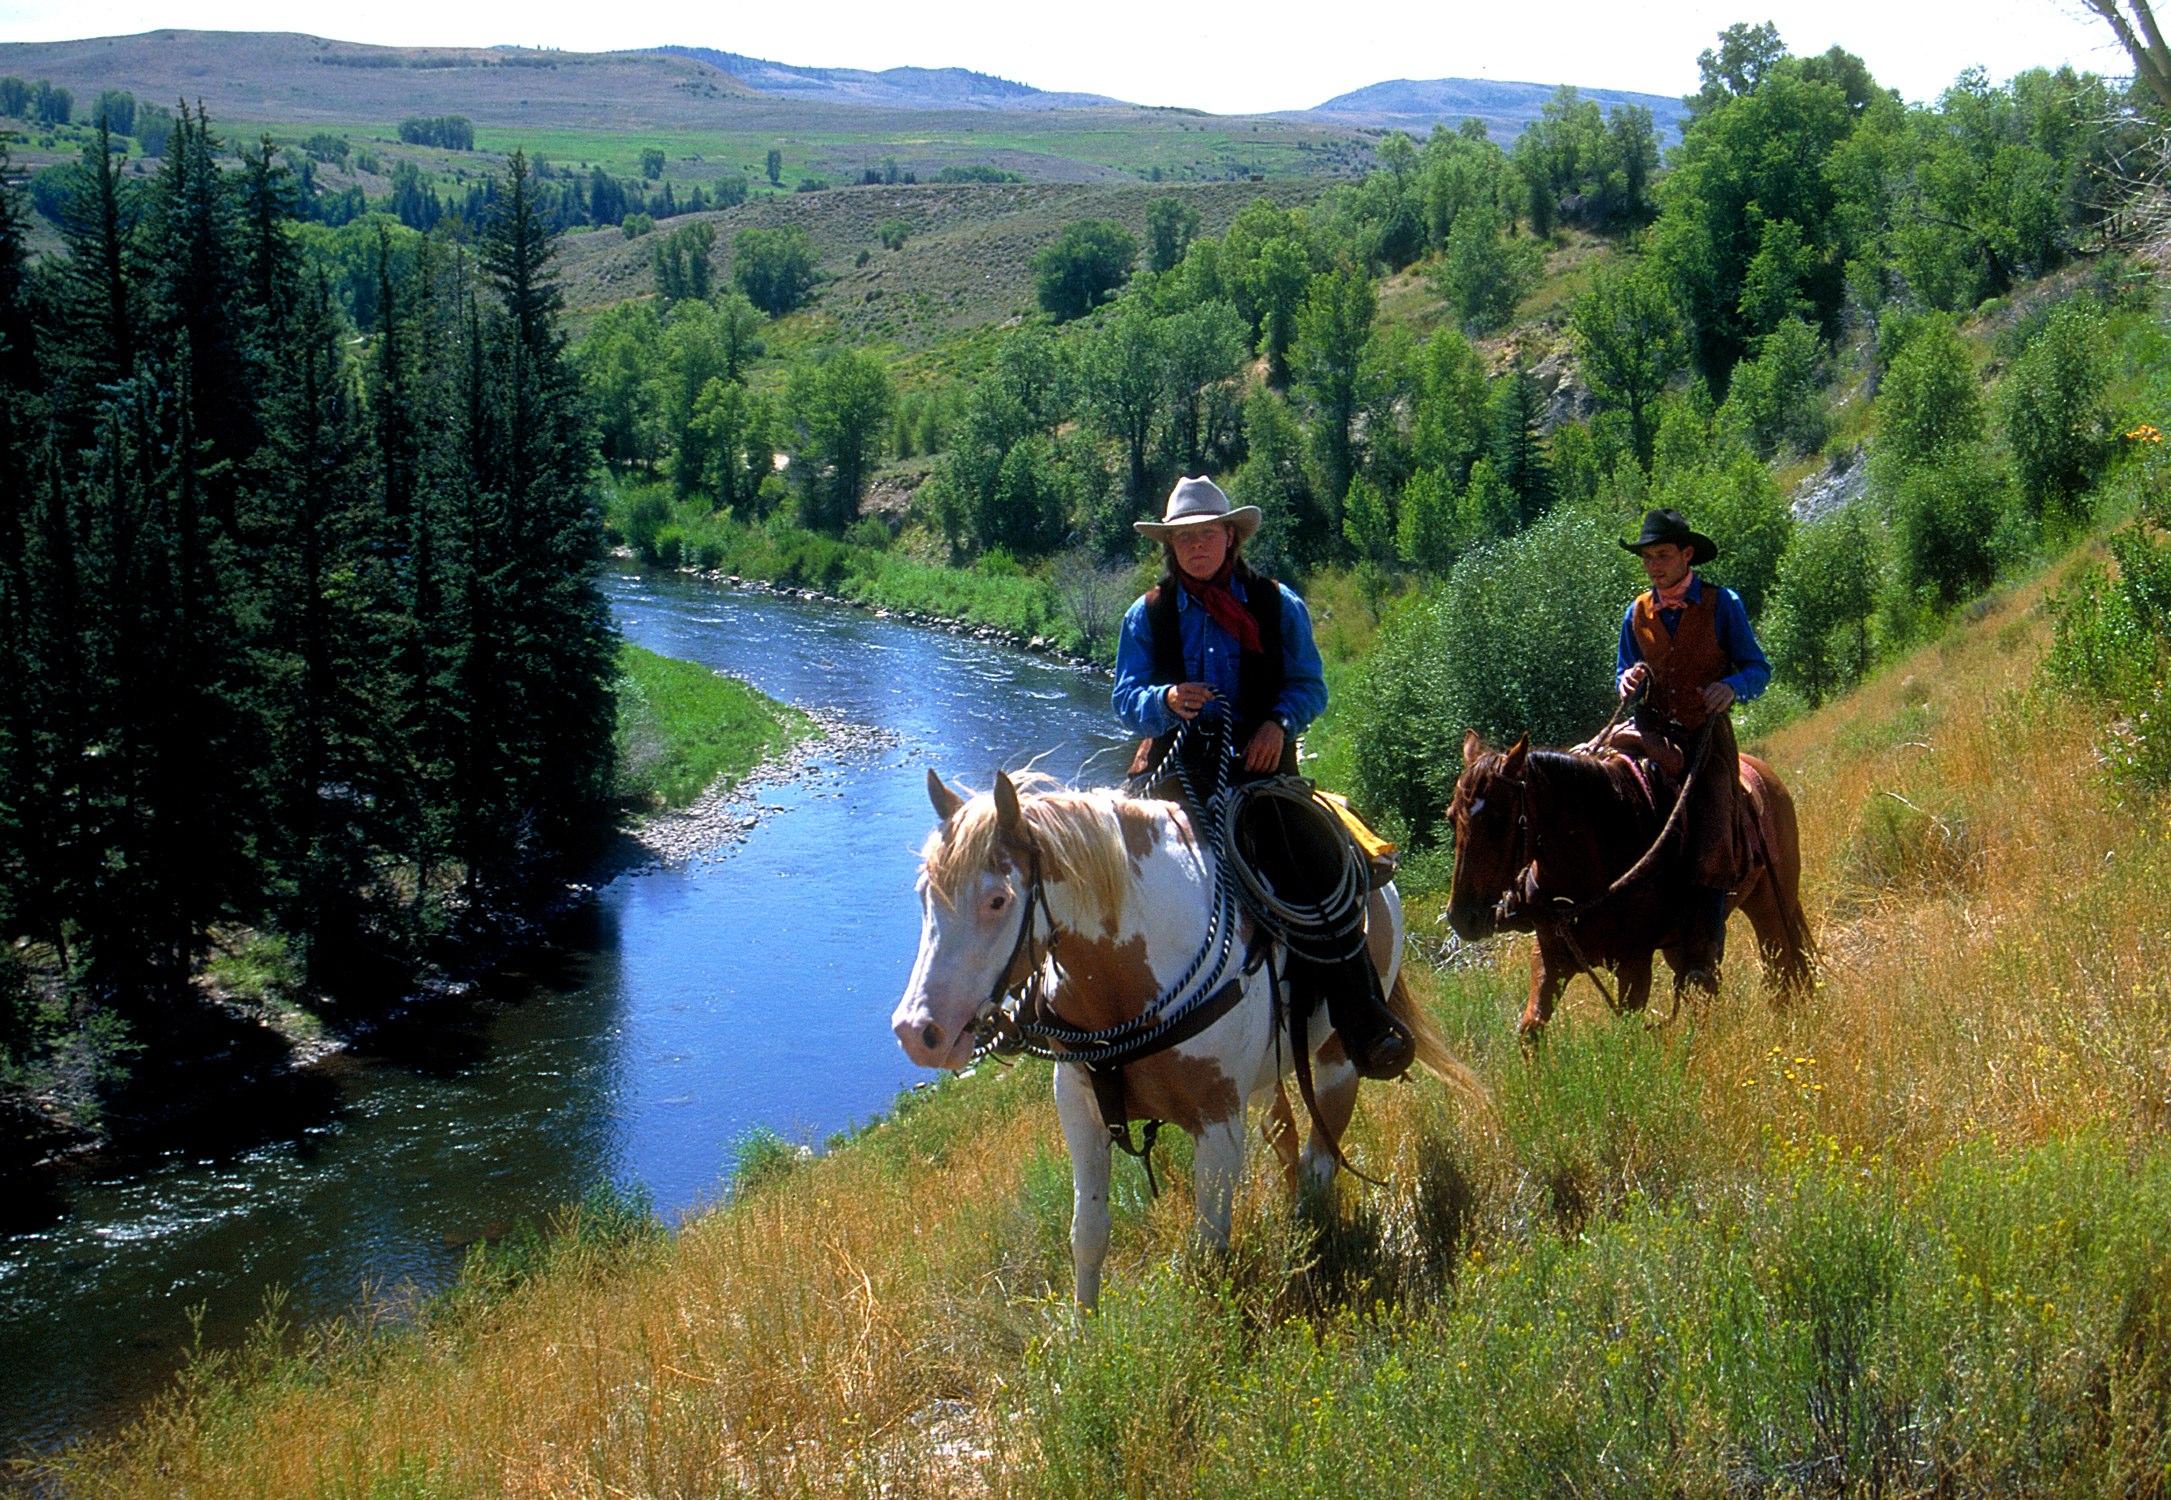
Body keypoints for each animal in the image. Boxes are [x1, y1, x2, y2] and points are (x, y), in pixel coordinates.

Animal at [890, 768, 1484, 1311]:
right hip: (1266, 1080)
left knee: (1320, 1161)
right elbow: (1088, 1235)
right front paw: (1083, 1340)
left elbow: (1209, 1250)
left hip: (1337, 1059)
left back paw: (1310, 1250)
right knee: (1288, 1141)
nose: (917, 1033)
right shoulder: (1079, 1107)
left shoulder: (1217, 1123)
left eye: (997, 900)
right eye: (923, 896)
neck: (1129, 981)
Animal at [1441, 733, 1814, 1037]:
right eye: (1451, 817)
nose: (1462, 918)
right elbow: (1530, 1030)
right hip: (1683, 943)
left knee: (1780, 966)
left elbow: (1629, 1032)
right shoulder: (1551, 958)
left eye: (1498, 819)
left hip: (1769, 904)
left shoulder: (1634, 964)